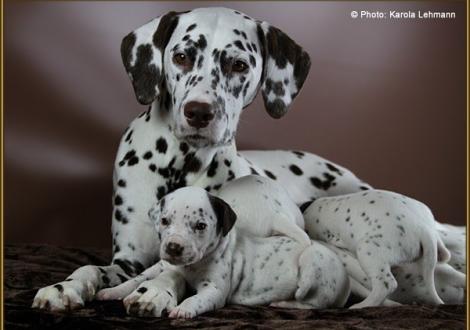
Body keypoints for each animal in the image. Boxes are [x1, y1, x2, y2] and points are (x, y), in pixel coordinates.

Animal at [100, 186, 352, 318]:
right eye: (164, 220)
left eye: (200, 226)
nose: (173, 247)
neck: (192, 265)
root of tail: (346, 284)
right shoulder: (161, 266)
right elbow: (136, 279)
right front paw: (111, 291)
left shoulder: (214, 289)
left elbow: (199, 299)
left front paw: (184, 309)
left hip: (313, 266)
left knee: (313, 302)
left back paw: (284, 304)